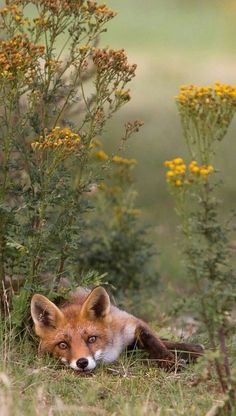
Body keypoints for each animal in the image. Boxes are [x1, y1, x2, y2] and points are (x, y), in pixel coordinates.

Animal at [30, 288, 205, 372]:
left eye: (91, 339)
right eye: (63, 345)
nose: (82, 362)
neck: (110, 351)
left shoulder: (131, 322)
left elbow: (157, 343)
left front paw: (173, 362)